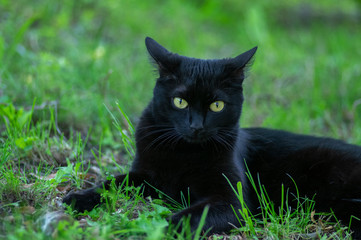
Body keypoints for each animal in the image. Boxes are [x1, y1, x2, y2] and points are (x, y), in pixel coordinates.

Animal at [64, 37, 360, 236]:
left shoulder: (231, 200)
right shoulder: (145, 175)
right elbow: (112, 183)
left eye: (217, 105)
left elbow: (191, 215)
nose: (196, 126)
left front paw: (155, 228)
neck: (183, 152)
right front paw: (78, 198)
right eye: (180, 102)